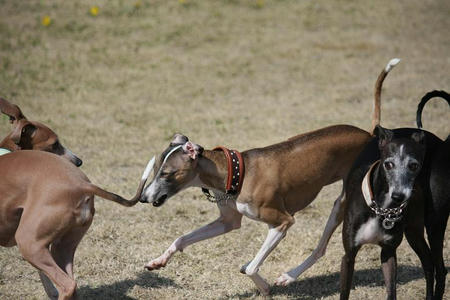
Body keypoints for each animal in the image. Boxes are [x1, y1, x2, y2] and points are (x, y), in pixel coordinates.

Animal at [141, 59, 400, 296]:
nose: (143, 198)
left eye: (167, 173)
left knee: (321, 247)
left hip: (342, 203)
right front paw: (158, 261)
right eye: (155, 170)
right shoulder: (228, 221)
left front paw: (264, 286)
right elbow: (182, 239)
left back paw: (289, 276)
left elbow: (251, 268)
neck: (236, 173)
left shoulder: (282, 221)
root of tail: (368, 134)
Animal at [342, 125, 432, 298]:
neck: (380, 209)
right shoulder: (349, 255)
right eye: (388, 164)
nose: (398, 196)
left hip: (415, 232)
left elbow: (392, 292)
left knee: (430, 265)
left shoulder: (389, 252)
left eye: (413, 165)